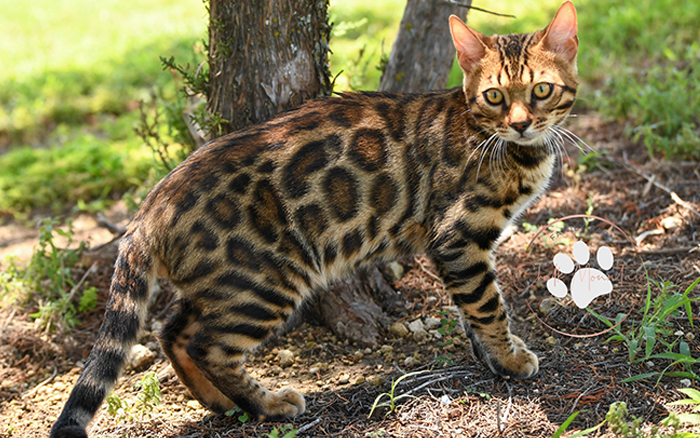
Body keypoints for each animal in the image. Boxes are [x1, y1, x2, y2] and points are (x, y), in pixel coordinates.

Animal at [50, 2, 580, 434]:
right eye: (494, 96)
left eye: (542, 90)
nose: (520, 123)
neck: (506, 145)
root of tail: (151, 205)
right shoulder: (458, 236)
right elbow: (487, 304)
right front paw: (509, 357)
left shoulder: (458, 247)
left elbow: (471, 309)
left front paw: (490, 357)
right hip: (265, 281)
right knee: (206, 344)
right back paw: (268, 404)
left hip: (223, 283)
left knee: (172, 331)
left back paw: (220, 403)